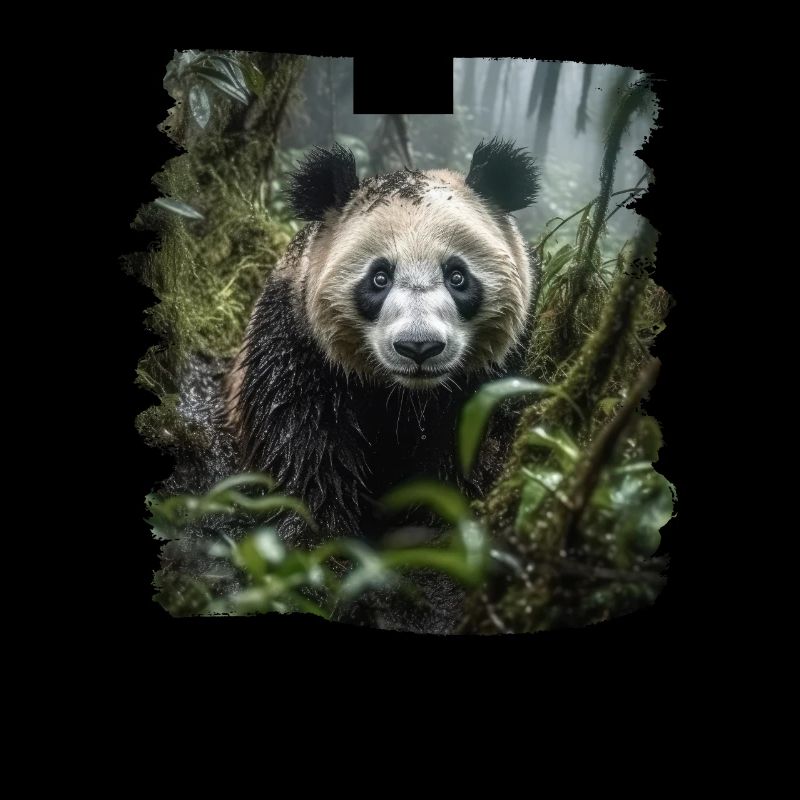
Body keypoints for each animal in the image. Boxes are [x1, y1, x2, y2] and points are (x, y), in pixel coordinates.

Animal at [224, 138, 539, 627]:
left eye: (457, 276)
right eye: (379, 277)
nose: (419, 347)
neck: (404, 395)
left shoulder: (491, 374)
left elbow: (462, 449)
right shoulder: (298, 345)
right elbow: (303, 446)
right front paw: (319, 550)